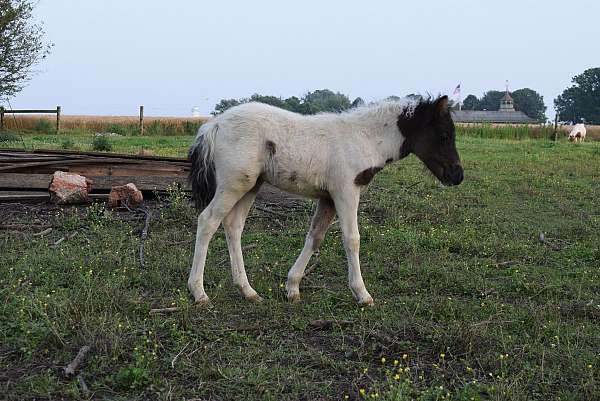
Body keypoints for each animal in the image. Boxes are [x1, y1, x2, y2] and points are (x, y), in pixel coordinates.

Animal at [188, 95, 464, 304]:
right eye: (444, 135)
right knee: (207, 221)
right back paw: (199, 292)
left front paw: (292, 288)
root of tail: (213, 125)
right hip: (234, 184)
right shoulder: (346, 191)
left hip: (251, 185)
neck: (364, 138)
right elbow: (352, 239)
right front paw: (362, 294)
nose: (457, 175)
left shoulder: (328, 197)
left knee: (233, 226)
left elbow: (315, 236)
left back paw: (248, 291)